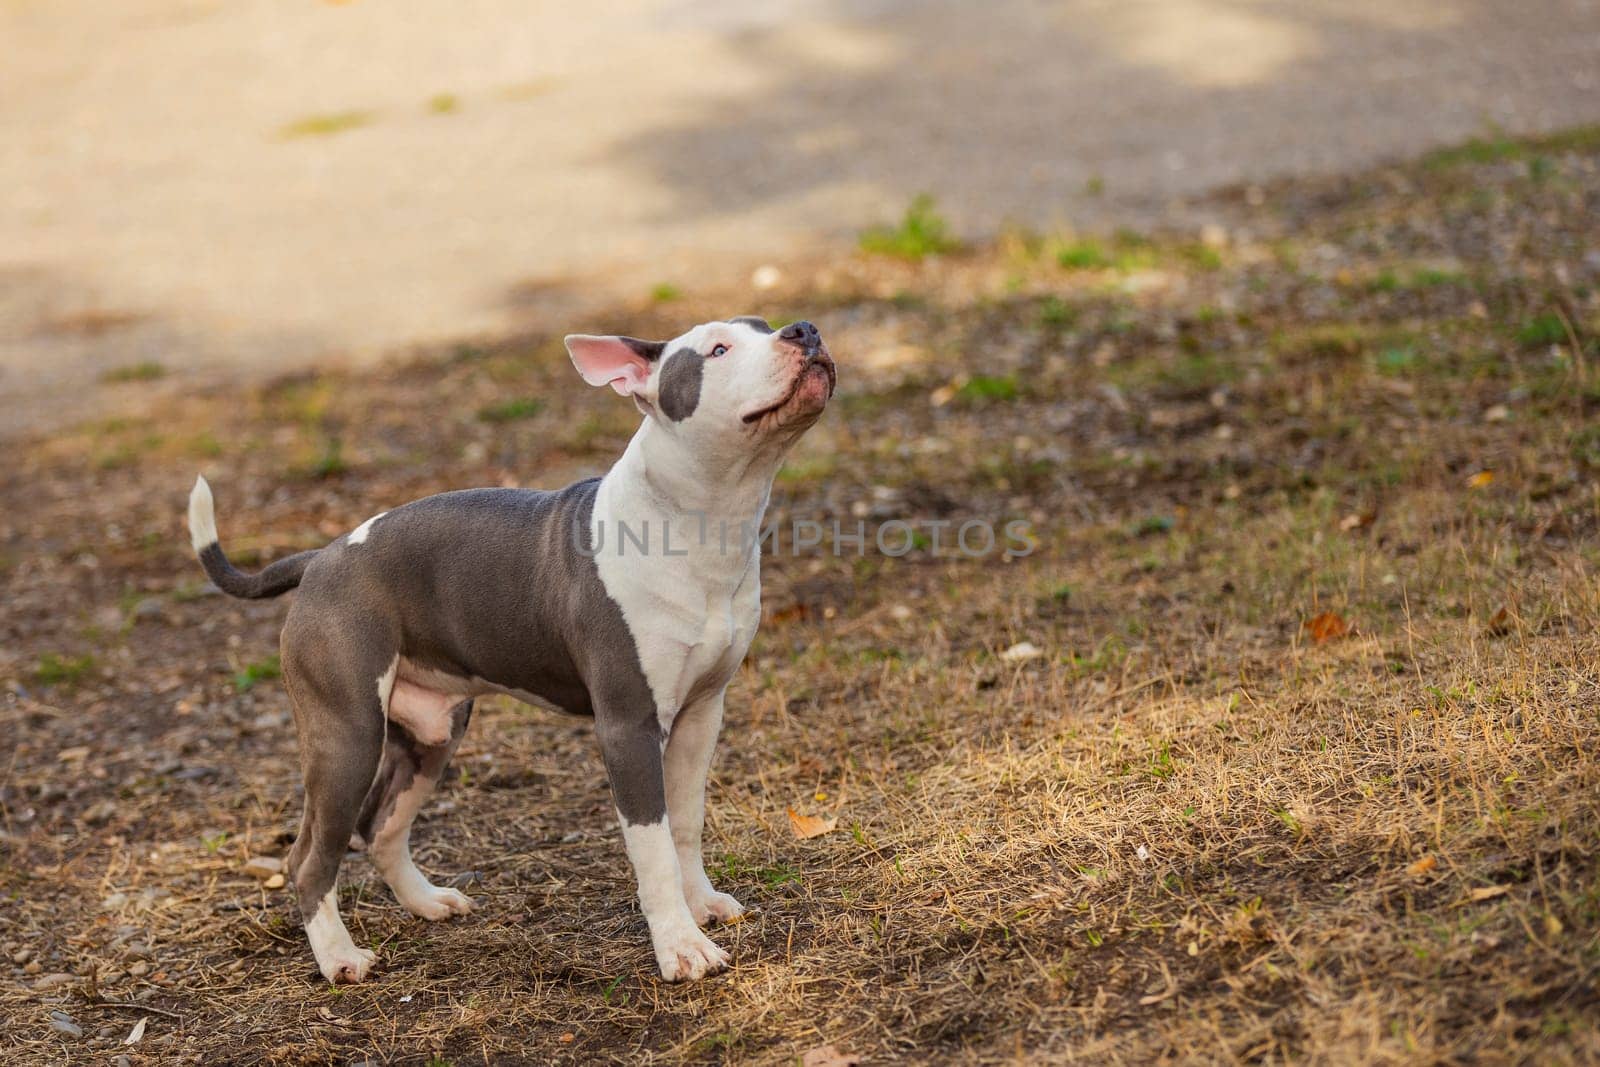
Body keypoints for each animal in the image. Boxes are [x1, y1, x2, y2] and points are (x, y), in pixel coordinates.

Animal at [187, 315, 838, 985]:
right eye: (718, 350)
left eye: (764, 325)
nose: (804, 329)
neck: (701, 525)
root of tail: (321, 558)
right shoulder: (628, 728)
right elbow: (652, 845)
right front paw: (681, 948)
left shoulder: (701, 715)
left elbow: (684, 823)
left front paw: (702, 904)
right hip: (347, 735)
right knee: (310, 855)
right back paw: (340, 958)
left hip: (433, 731)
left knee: (379, 825)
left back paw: (427, 902)